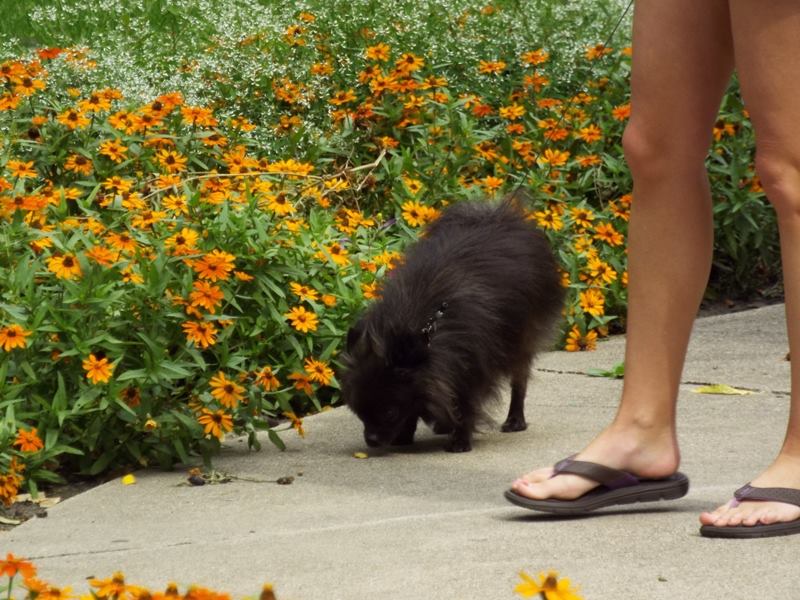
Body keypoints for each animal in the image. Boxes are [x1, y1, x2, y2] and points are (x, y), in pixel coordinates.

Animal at [340, 198, 564, 452]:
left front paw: (460, 439)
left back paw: (515, 420)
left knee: (520, 380)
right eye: (359, 413)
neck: (424, 326)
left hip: (521, 339)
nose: (372, 441)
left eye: (389, 413)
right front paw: (406, 434)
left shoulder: (470, 365)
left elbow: (465, 404)